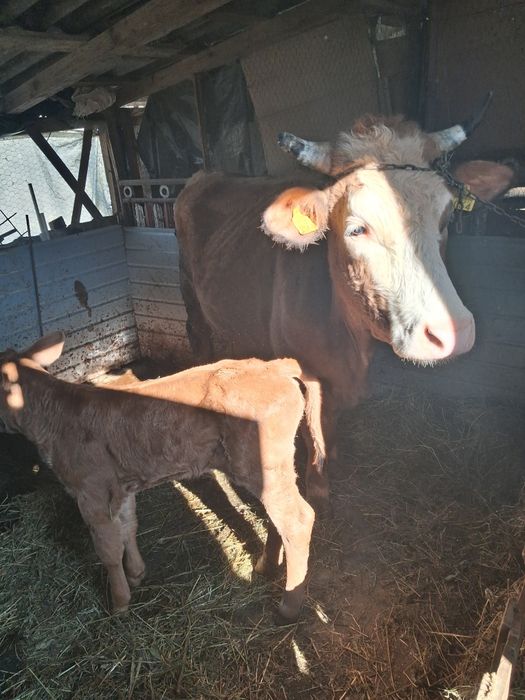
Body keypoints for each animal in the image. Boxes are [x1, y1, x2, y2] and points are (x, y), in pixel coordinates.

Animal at [0, 332, 325, 621]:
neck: (56, 417)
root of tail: (272, 365)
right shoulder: (122, 486)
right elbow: (128, 527)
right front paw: (136, 574)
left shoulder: (91, 491)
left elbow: (108, 549)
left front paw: (119, 603)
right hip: (272, 467)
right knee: (278, 516)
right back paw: (265, 566)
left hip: (262, 462)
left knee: (297, 519)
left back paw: (288, 607)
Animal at [175, 102, 515, 514]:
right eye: (356, 229)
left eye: (446, 218)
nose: (452, 332)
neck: (348, 334)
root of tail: (205, 174)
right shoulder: (307, 372)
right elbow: (315, 429)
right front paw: (319, 489)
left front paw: (334, 457)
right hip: (190, 294)